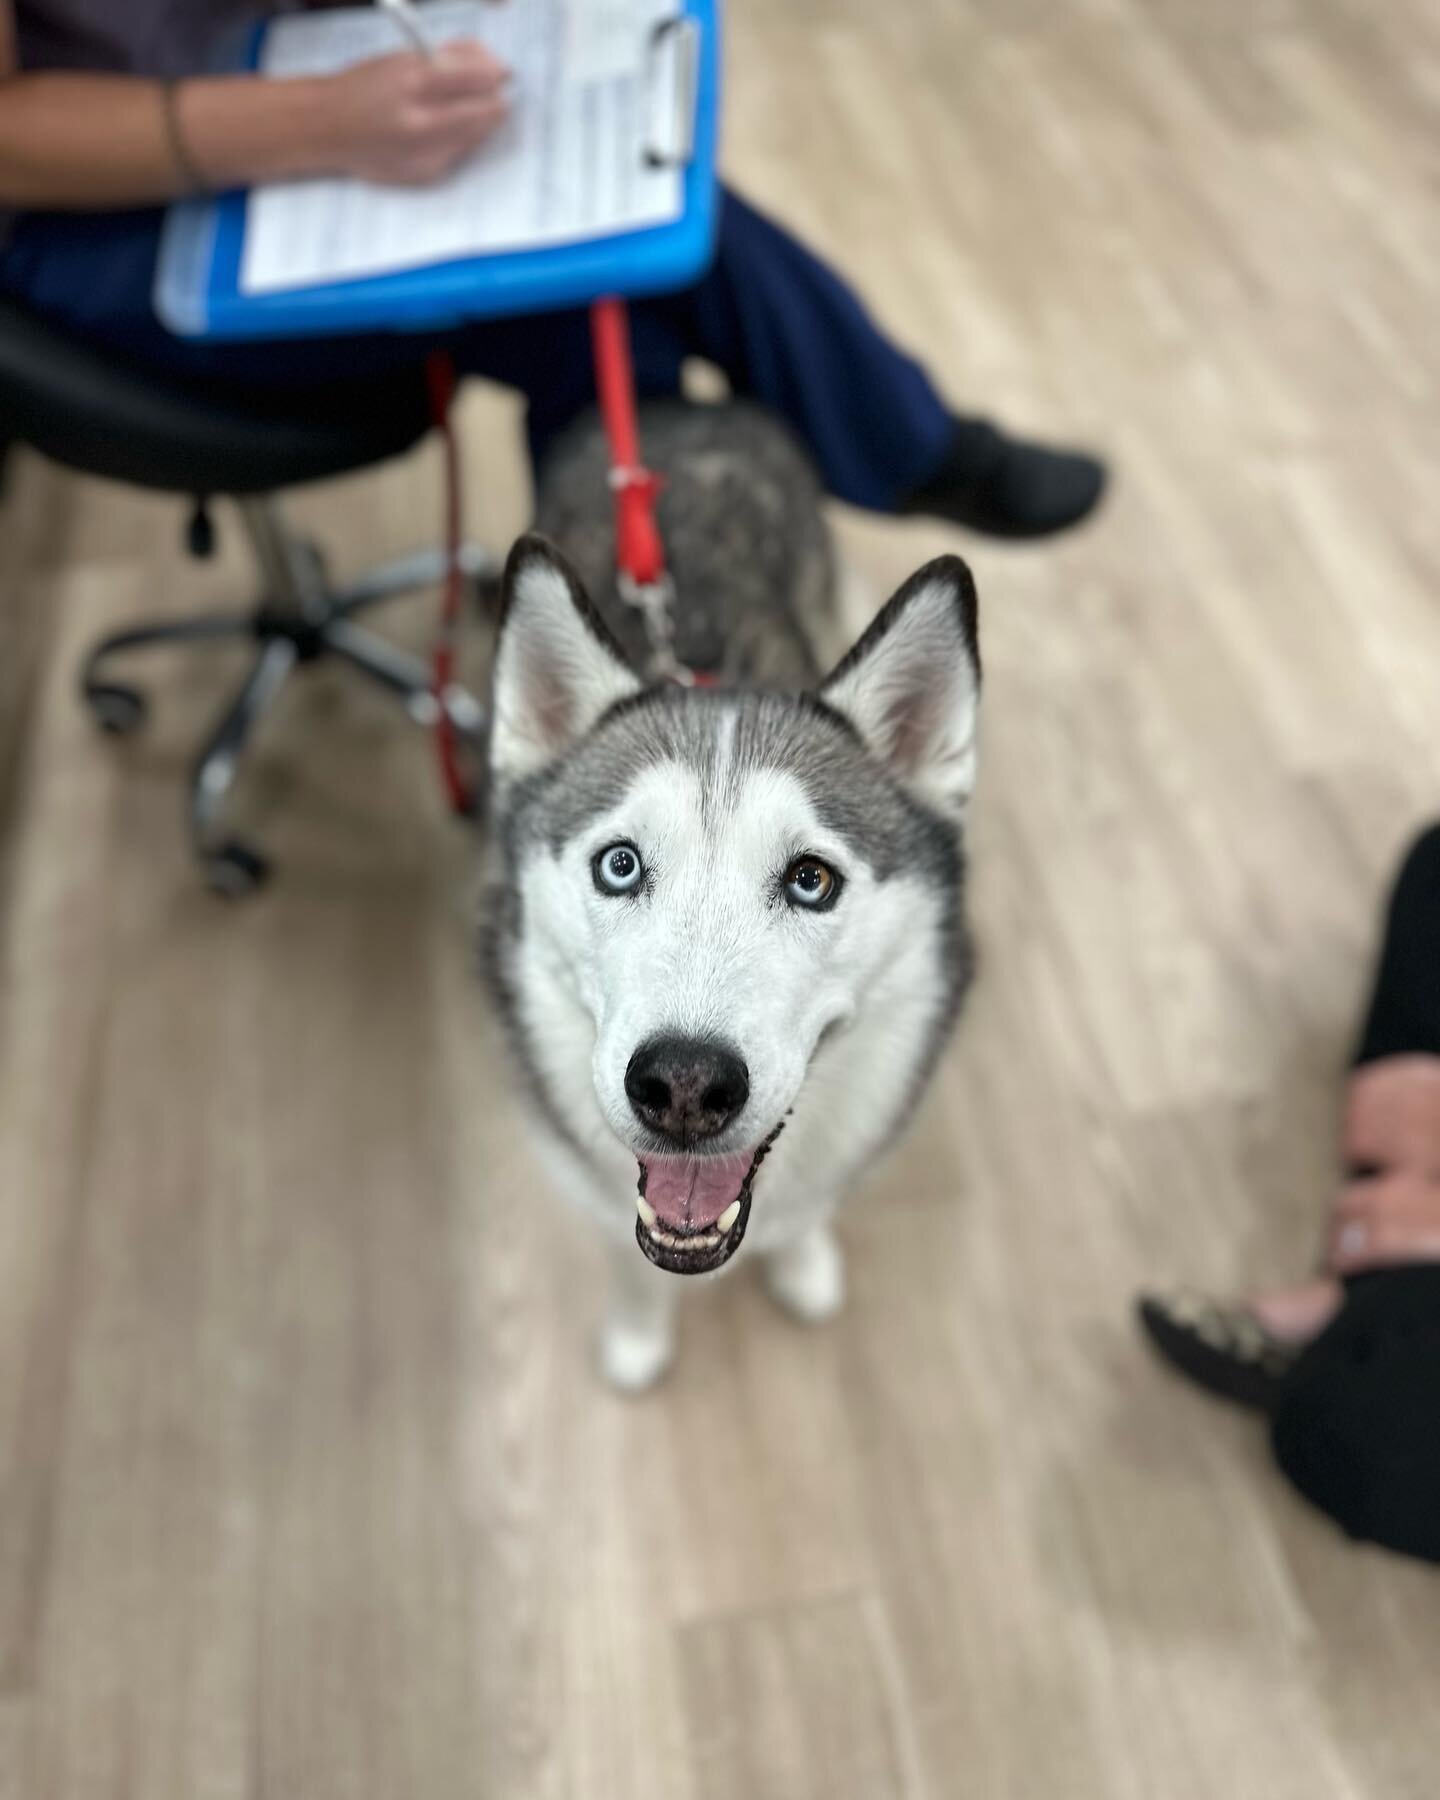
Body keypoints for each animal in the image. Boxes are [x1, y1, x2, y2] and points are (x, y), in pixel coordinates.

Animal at [482, 405, 979, 1389]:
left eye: (811, 879)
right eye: (619, 866)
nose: (682, 1084)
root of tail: (688, 405)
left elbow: (812, 1208)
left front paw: (805, 1265)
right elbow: (623, 1252)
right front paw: (638, 1337)